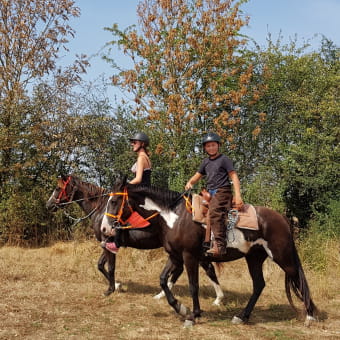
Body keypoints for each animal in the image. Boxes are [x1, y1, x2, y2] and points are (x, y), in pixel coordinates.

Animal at [45, 175, 226, 302]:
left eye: (58, 188)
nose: (48, 205)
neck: (100, 209)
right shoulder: (106, 244)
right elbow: (100, 265)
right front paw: (117, 285)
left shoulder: (108, 243)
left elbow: (109, 267)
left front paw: (111, 289)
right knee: (181, 270)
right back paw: (163, 294)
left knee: (207, 268)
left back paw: (218, 298)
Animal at [100, 178, 316, 326]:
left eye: (114, 201)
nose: (104, 228)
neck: (174, 217)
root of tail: (283, 219)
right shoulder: (175, 257)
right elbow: (162, 279)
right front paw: (180, 307)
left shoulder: (189, 257)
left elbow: (193, 286)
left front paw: (193, 315)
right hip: (254, 258)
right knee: (259, 285)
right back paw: (242, 316)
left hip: (282, 256)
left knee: (298, 279)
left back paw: (310, 315)